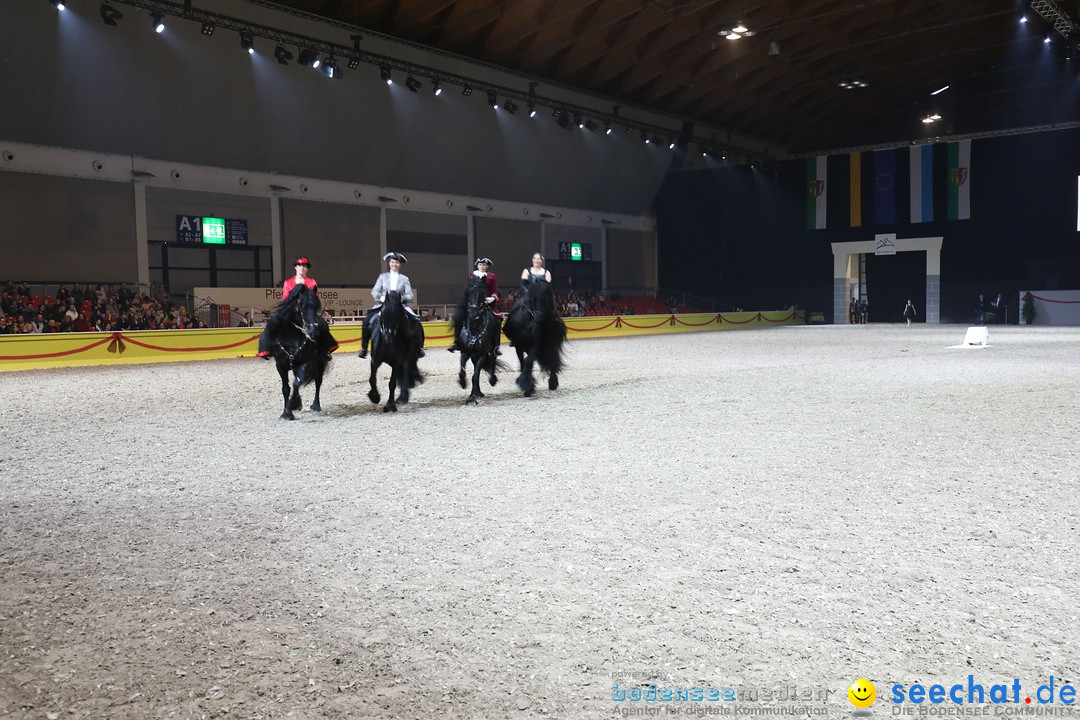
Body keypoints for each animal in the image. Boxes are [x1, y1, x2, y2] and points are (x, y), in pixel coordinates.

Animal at [259, 284, 330, 418]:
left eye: (316, 307)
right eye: (302, 307)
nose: (314, 333)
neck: (290, 339)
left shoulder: (306, 363)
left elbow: (296, 383)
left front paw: (293, 405)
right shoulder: (281, 366)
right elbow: (286, 388)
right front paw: (286, 413)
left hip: (320, 364)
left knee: (318, 382)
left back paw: (316, 405)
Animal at [455, 273, 505, 403]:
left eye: (482, 293)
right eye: (468, 291)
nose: (473, 313)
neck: (474, 328)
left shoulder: (482, 354)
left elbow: (475, 374)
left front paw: (472, 398)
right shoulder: (465, 352)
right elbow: (463, 372)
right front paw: (463, 384)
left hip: (490, 350)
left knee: (492, 360)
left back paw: (491, 381)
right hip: (473, 355)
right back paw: (478, 392)